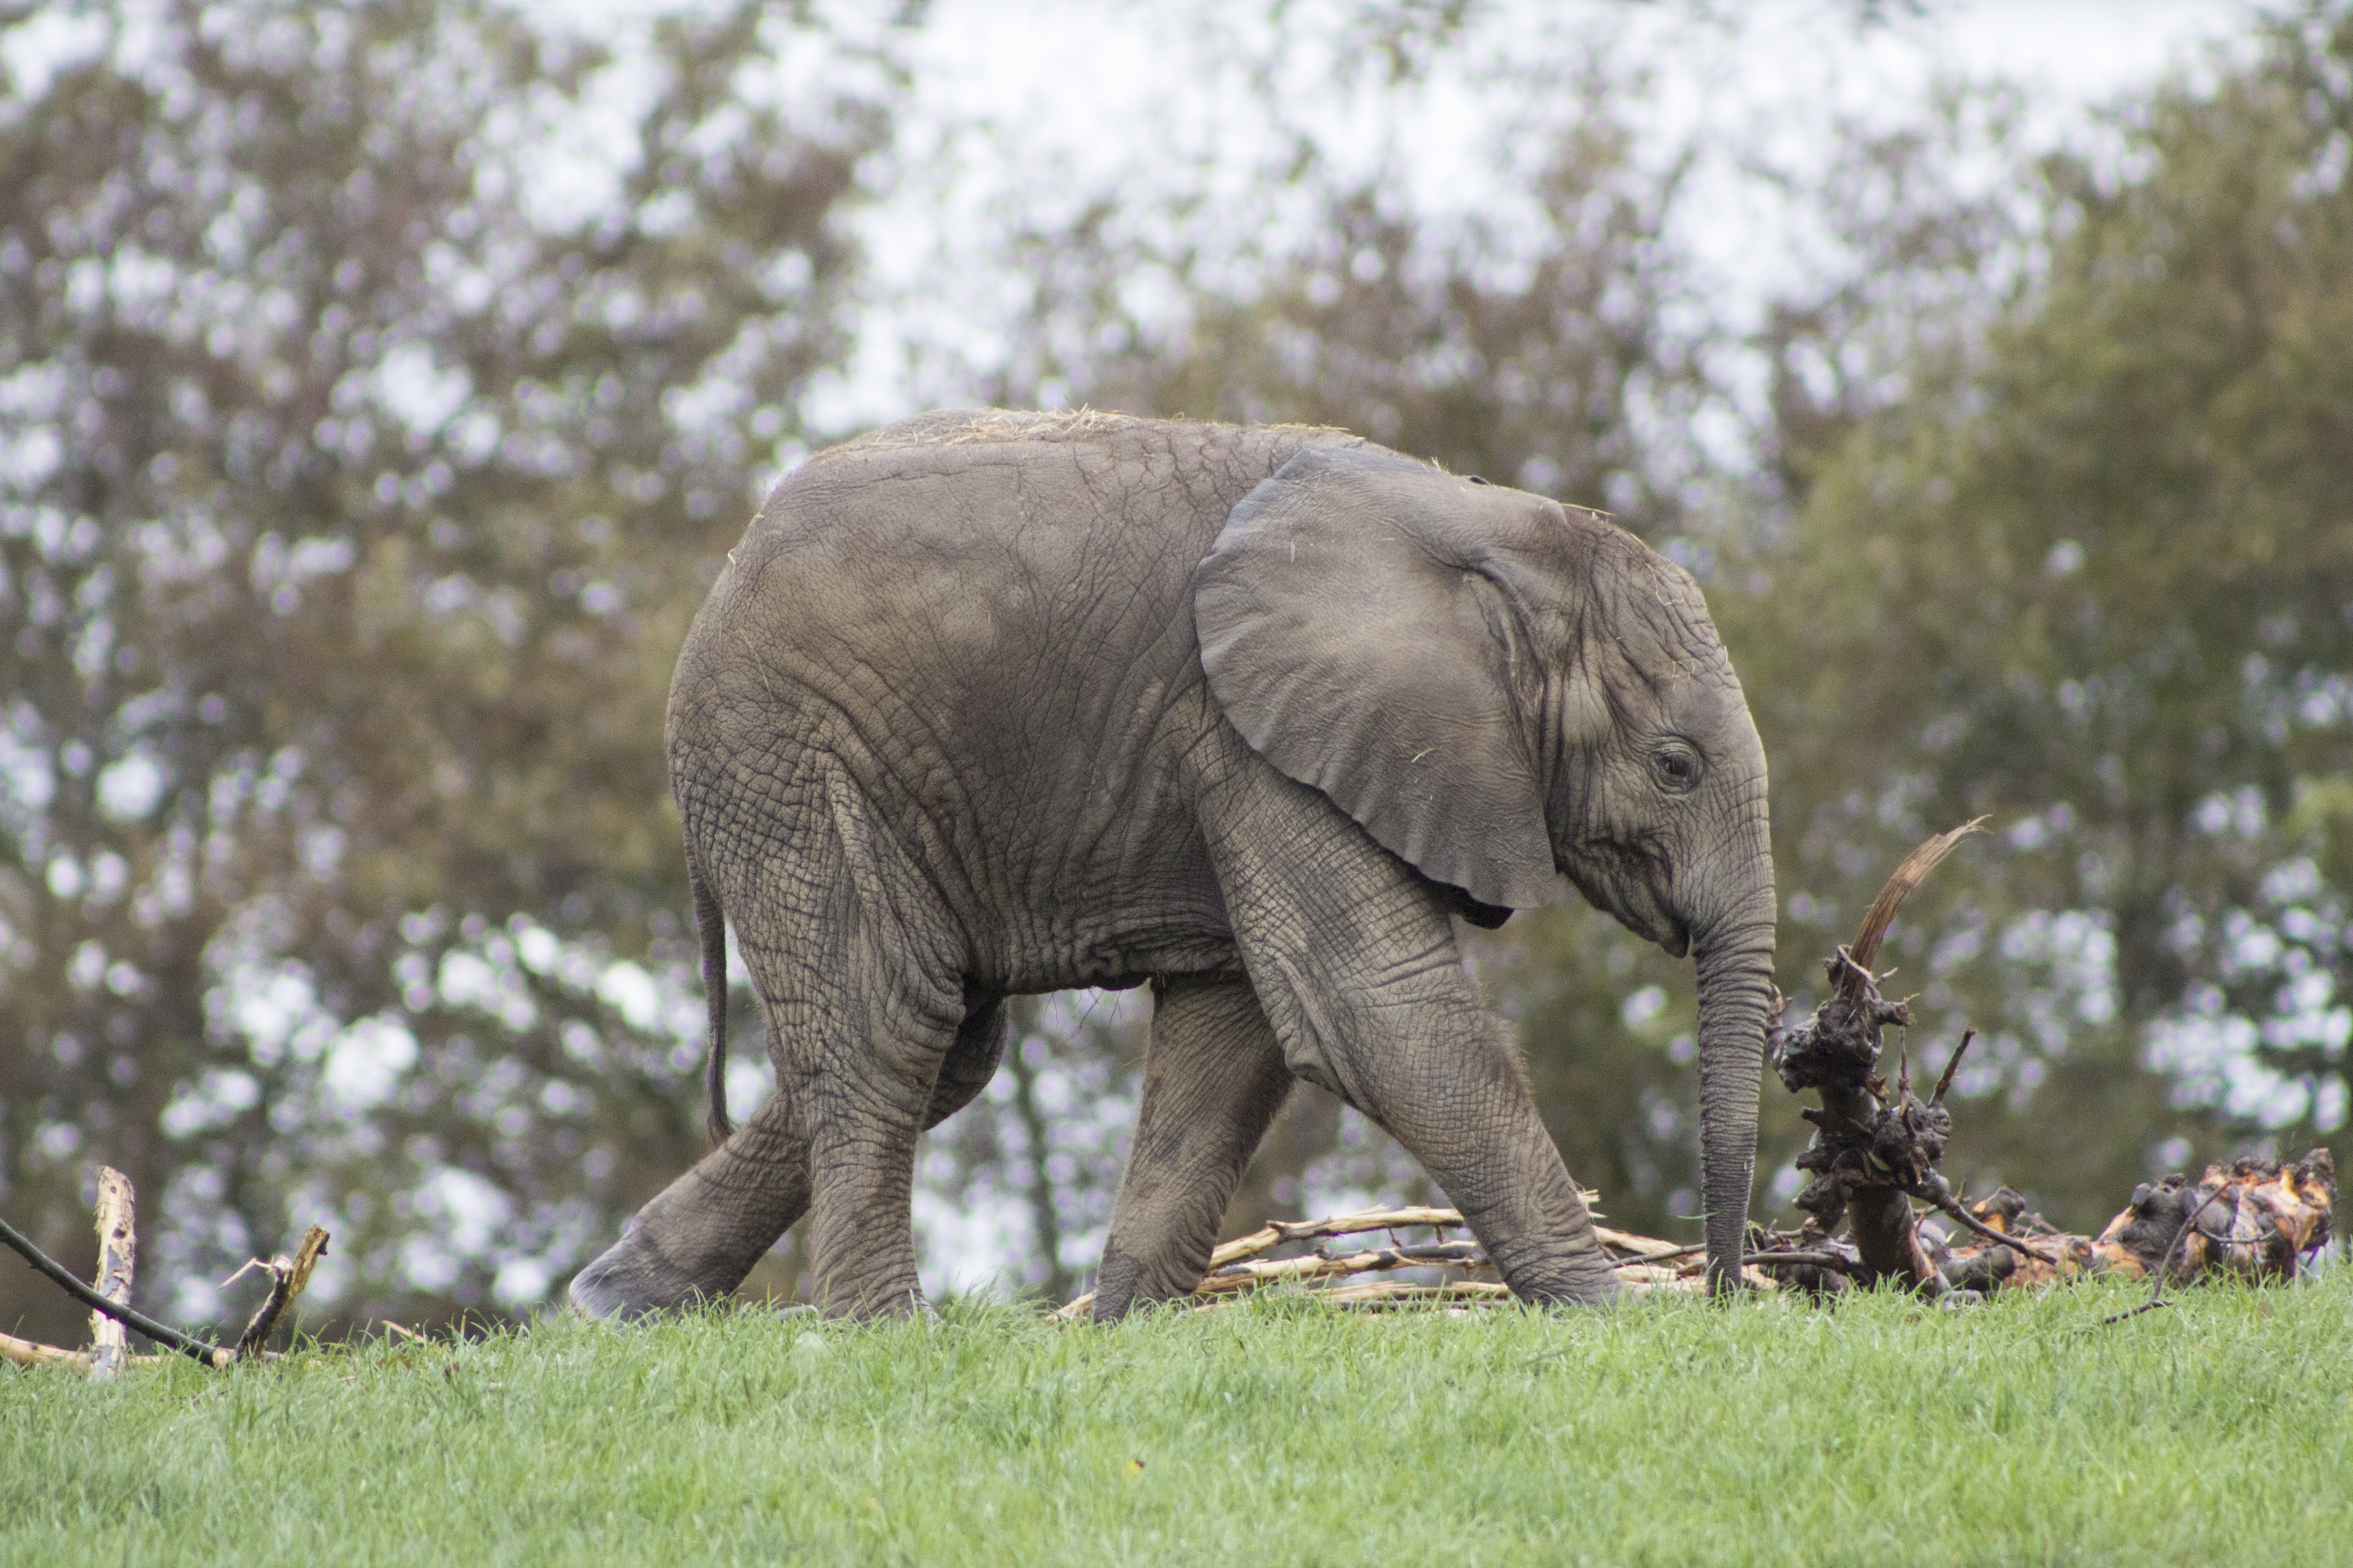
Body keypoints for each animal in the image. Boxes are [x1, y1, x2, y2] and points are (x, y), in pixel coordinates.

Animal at [567, 408, 1776, 1322]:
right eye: (1674, 766)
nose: (1728, 1289)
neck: (1494, 527)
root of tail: (724, 573)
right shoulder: (1251, 733)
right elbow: (1373, 1010)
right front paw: (1612, 1316)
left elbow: (1232, 1038)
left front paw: (1123, 1329)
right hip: (791, 749)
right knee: (892, 1020)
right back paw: (884, 1331)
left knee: (942, 1038)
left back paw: (615, 1300)